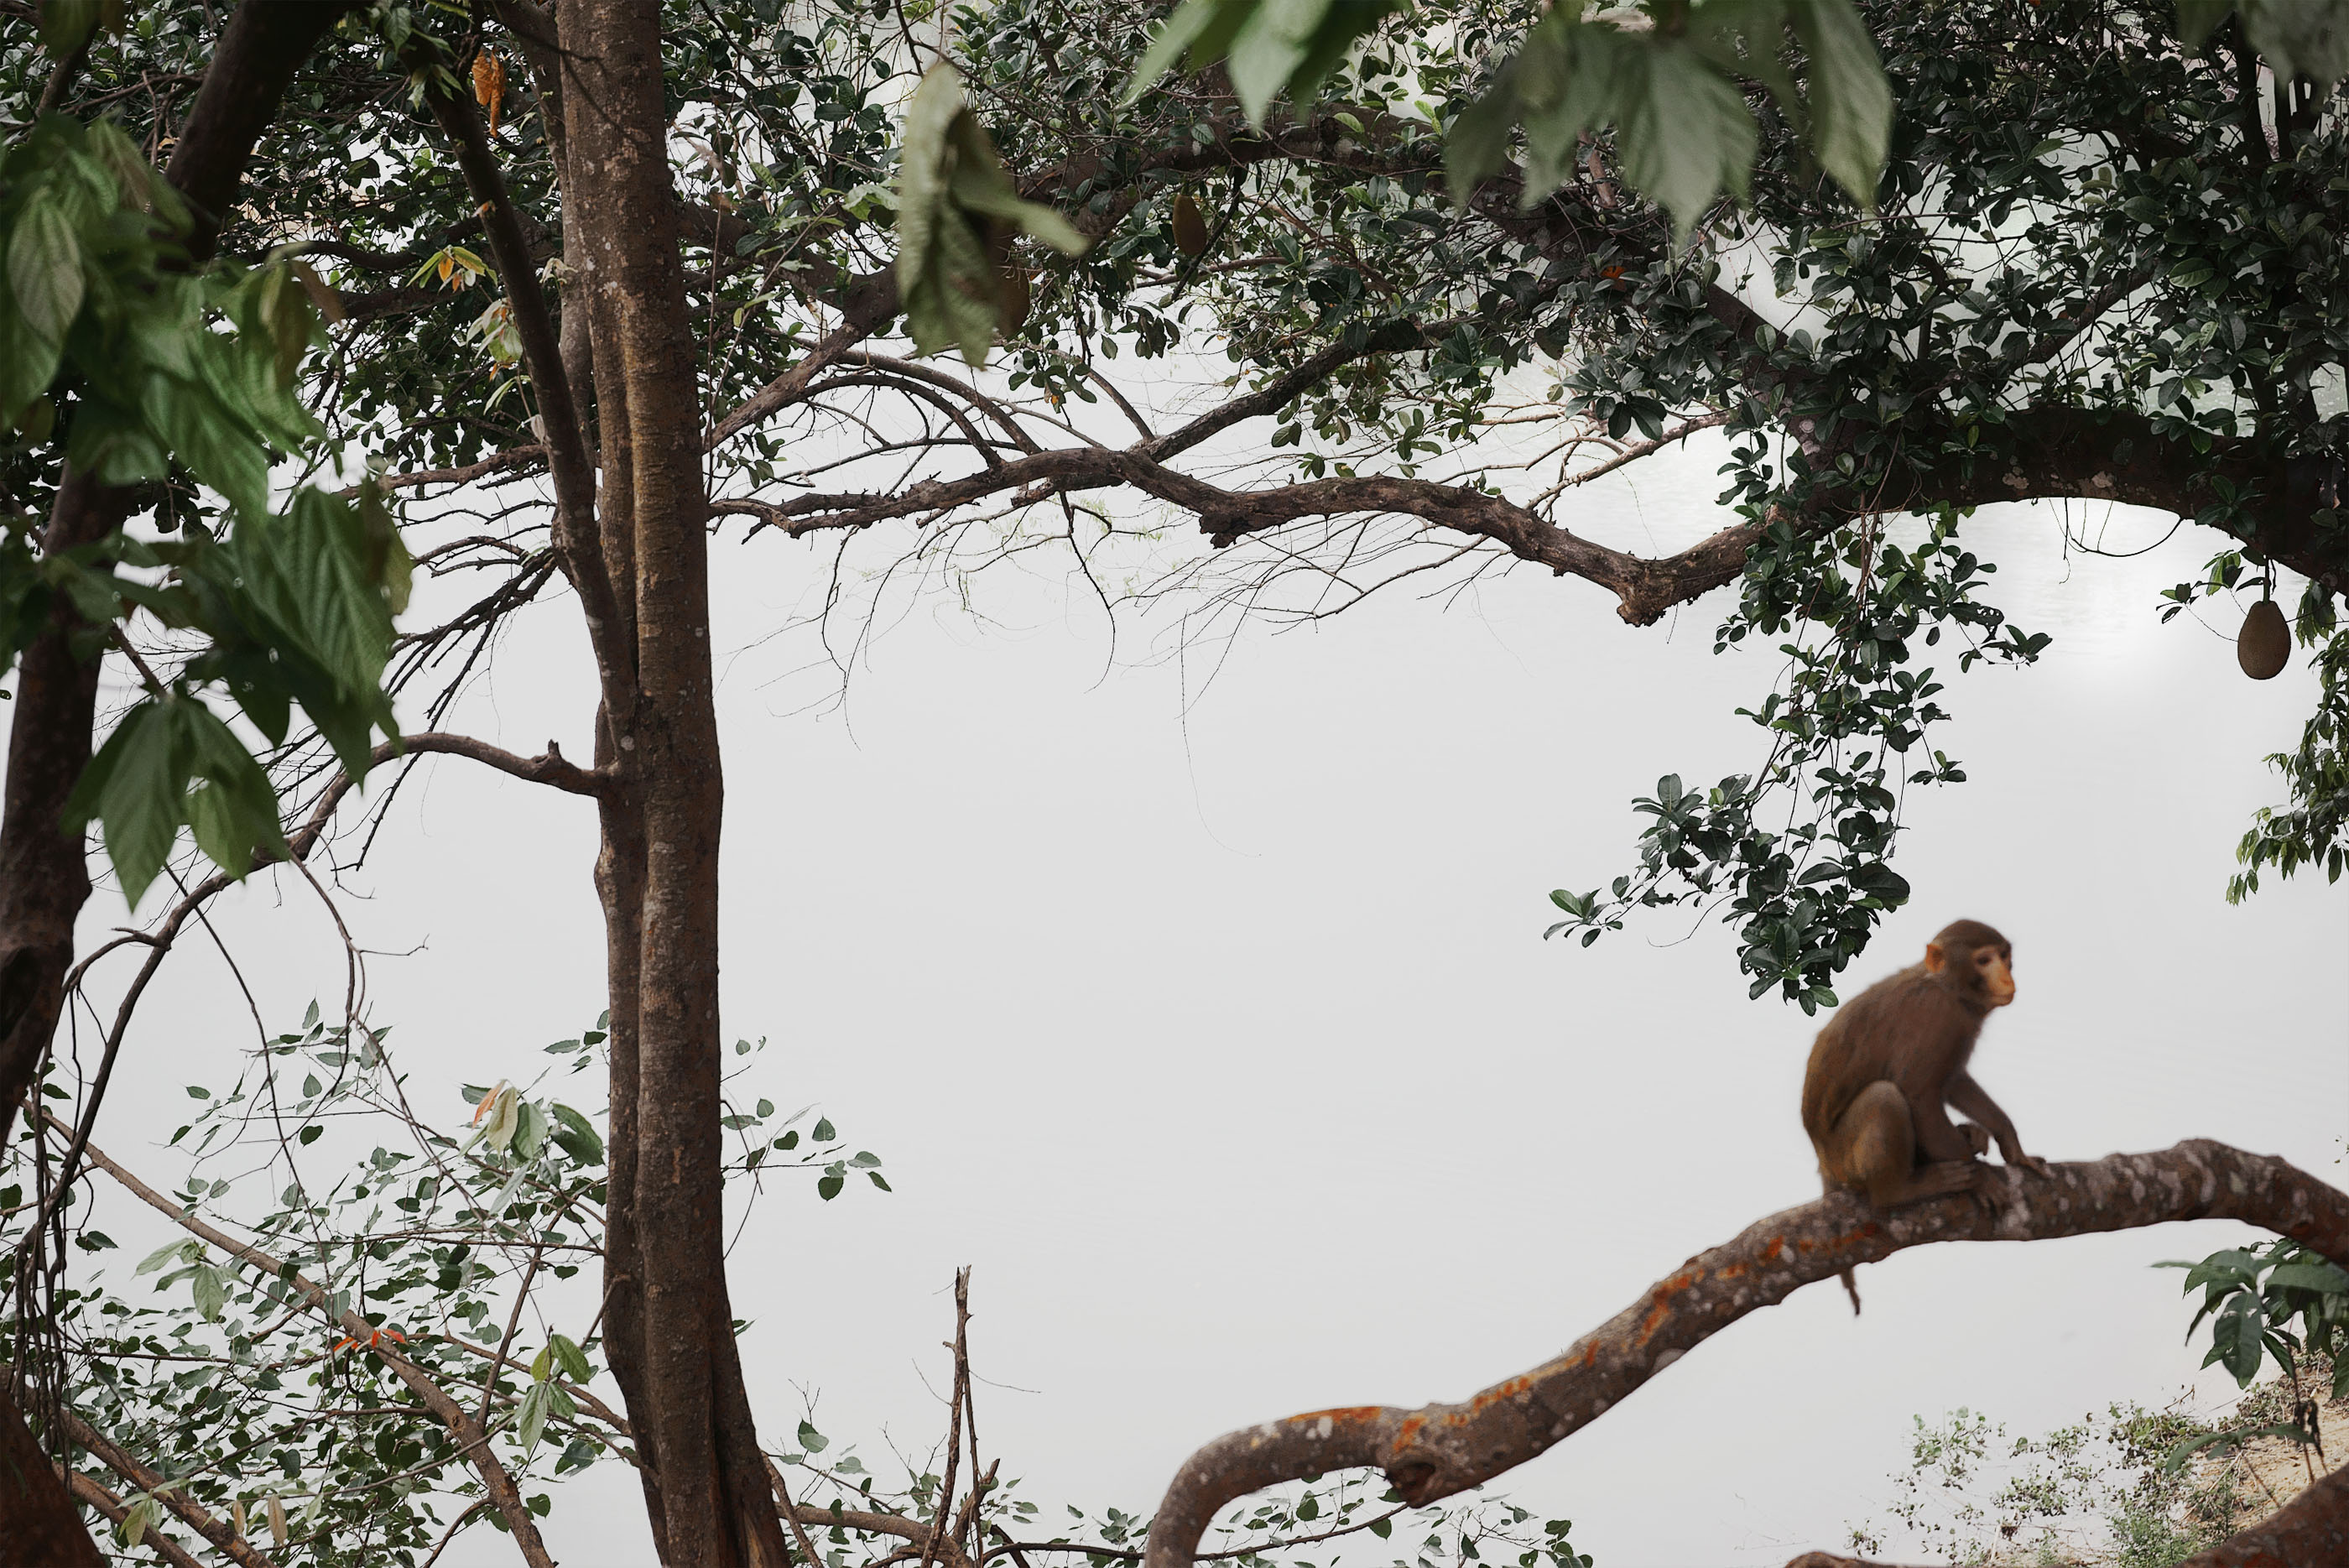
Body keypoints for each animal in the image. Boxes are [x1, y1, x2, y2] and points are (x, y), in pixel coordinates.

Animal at [1804, 919, 2048, 1314]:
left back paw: (1969, 1138)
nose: (2007, 977)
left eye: (2003, 956)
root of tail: (1822, 1160)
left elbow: (1954, 1080)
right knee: (1885, 1096)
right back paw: (1899, 1190)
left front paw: (2012, 1146)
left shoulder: (1961, 1021)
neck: (1946, 987)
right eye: (1983, 960)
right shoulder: (1938, 1016)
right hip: (1846, 1159)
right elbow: (1918, 1093)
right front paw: (1981, 1178)